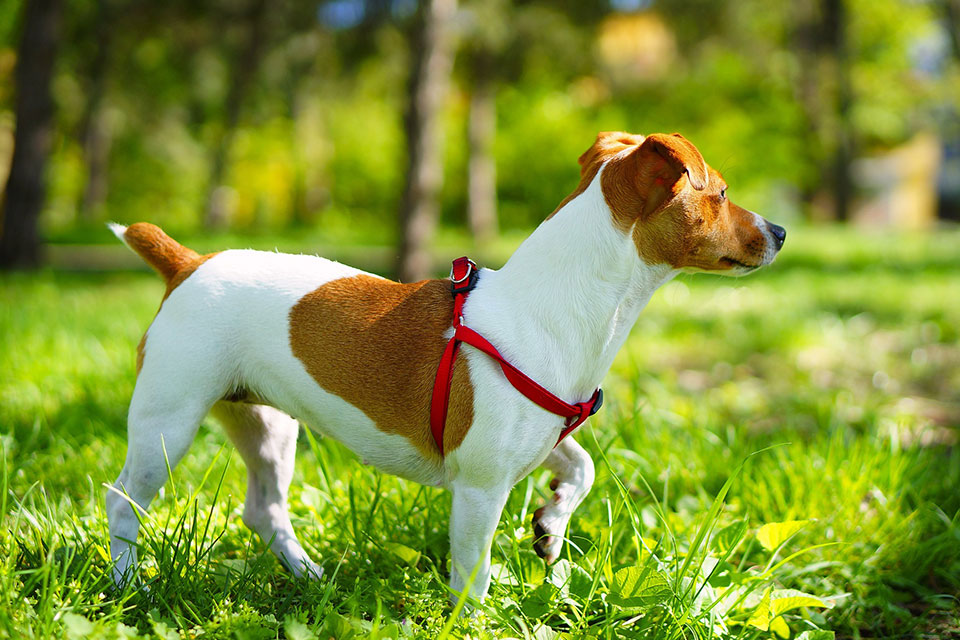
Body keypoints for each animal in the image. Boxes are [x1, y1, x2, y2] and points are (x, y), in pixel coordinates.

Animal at [105, 130, 784, 600]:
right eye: (722, 193)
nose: (779, 230)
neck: (555, 305)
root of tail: (188, 263)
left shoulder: (540, 436)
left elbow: (583, 466)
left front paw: (552, 524)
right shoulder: (480, 486)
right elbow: (473, 575)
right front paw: (476, 616)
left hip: (267, 424)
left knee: (264, 508)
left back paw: (309, 575)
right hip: (169, 421)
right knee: (124, 500)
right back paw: (129, 584)